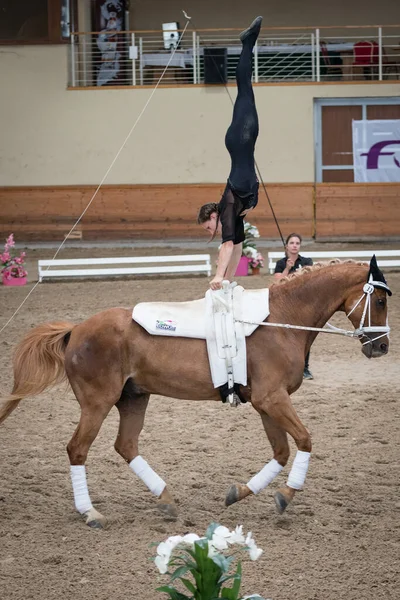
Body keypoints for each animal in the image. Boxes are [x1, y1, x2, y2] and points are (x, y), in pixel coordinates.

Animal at [0, 255, 390, 528]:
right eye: (382, 302)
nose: (383, 347)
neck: (281, 319)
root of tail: (77, 329)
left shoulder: (266, 403)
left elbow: (280, 452)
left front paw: (241, 493)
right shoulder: (272, 399)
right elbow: (306, 441)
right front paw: (286, 495)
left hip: (133, 398)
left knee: (126, 446)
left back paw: (165, 499)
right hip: (98, 403)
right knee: (78, 449)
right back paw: (90, 512)